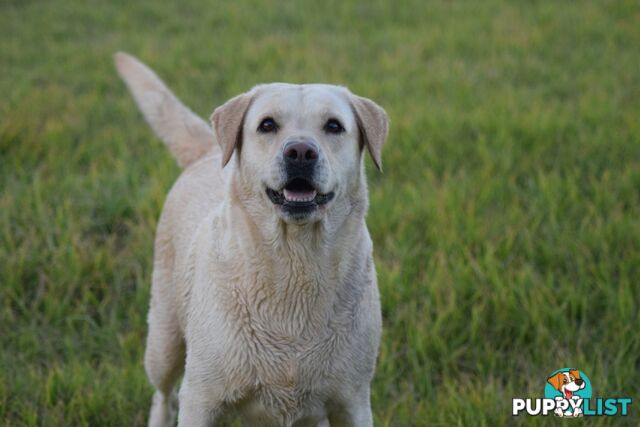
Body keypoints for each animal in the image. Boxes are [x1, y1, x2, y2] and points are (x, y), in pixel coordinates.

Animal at [114, 51, 388, 426]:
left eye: (333, 126)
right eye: (267, 125)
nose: (300, 152)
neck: (294, 262)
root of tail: (209, 152)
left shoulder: (353, 401)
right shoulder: (199, 396)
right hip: (163, 338)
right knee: (162, 393)